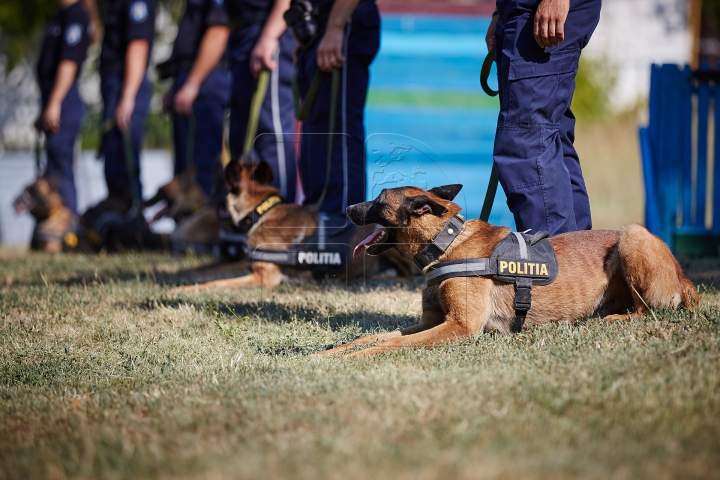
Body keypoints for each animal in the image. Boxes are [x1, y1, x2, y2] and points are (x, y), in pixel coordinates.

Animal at [316, 186, 696, 358]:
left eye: (379, 201)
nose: (347, 207)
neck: (447, 242)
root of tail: (685, 279)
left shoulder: (460, 327)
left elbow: (387, 344)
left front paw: (355, 359)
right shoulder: (430, 322)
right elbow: (372, 337)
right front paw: (328, 353)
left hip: (633, 234)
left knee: (647, 311)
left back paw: (613, 319)